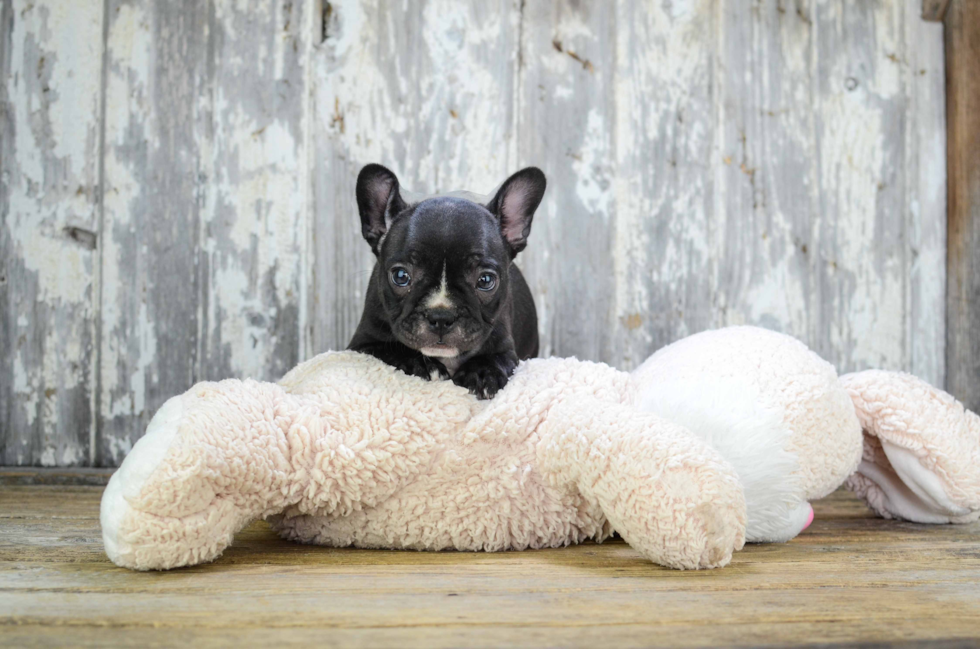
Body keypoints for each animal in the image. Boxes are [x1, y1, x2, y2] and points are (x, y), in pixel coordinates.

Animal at [346, 165, 544, 398]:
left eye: (486, 280)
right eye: (401, 276)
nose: (441, 316)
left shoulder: (506, 348)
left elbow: (495, 358)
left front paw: (482, 373)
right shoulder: (363, 344)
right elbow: (390, 349)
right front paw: (422, 364)